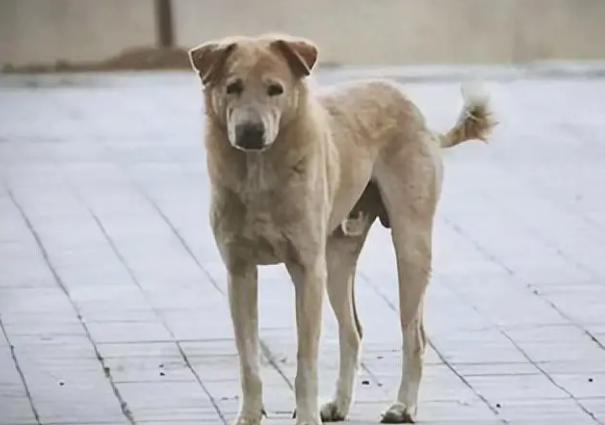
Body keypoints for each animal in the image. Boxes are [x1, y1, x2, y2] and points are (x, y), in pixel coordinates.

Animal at [188, 34, 490, 424]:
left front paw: (305, 417)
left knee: (415, 335)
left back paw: (402, 406)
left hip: (409, 248)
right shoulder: (239, 272)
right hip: (336, 262)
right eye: (232, 87)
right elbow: (249, 360)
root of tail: (412, 107)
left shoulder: (306, 270)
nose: (250, 132)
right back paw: (339, 404)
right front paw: (249, 417)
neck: (259, 175)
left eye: (275, 89)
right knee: (353, 331)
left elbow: (305, 361)